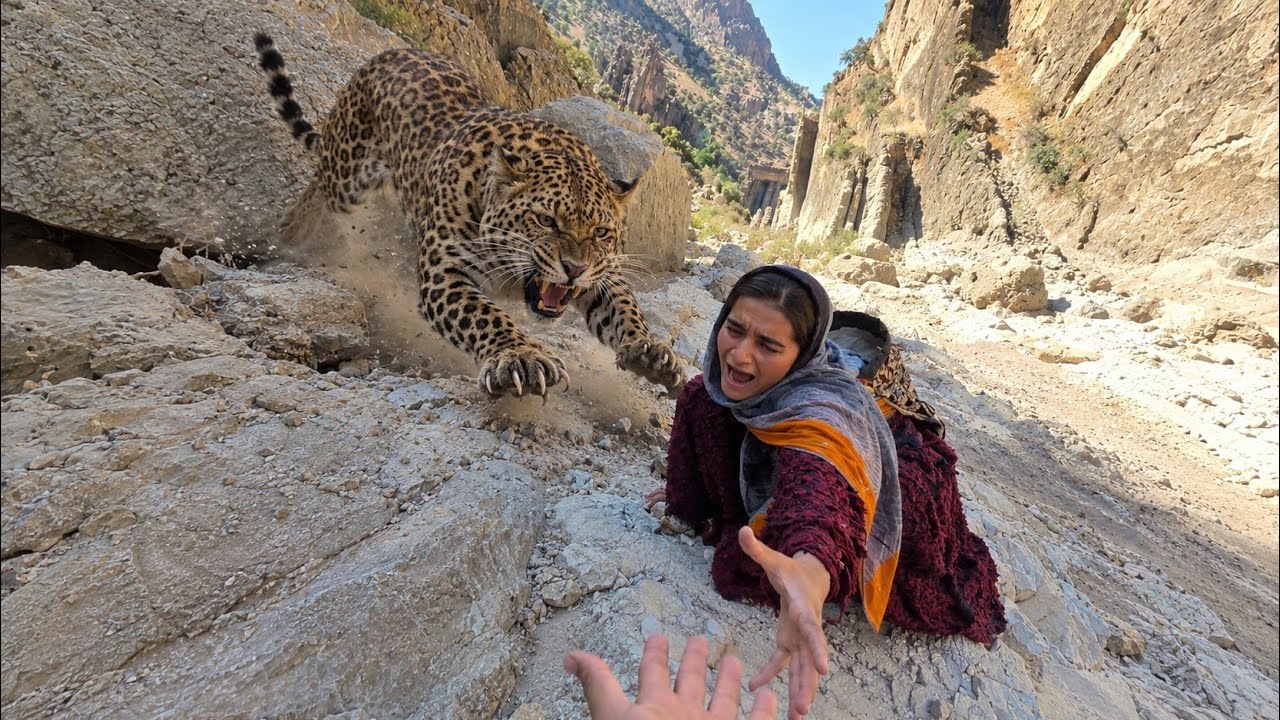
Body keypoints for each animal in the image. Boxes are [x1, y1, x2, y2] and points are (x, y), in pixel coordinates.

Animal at [252, 33, 684, 398]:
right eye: (546, 220)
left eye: (601, 233)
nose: (574, 269)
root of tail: (386, 54)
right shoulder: (445, 273)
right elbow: (485, 316)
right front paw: (521, 356)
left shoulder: (605, 275)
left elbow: (624, 309)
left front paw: (649, 351)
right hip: (346, 174)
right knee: (317, 191)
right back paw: (288, 239)